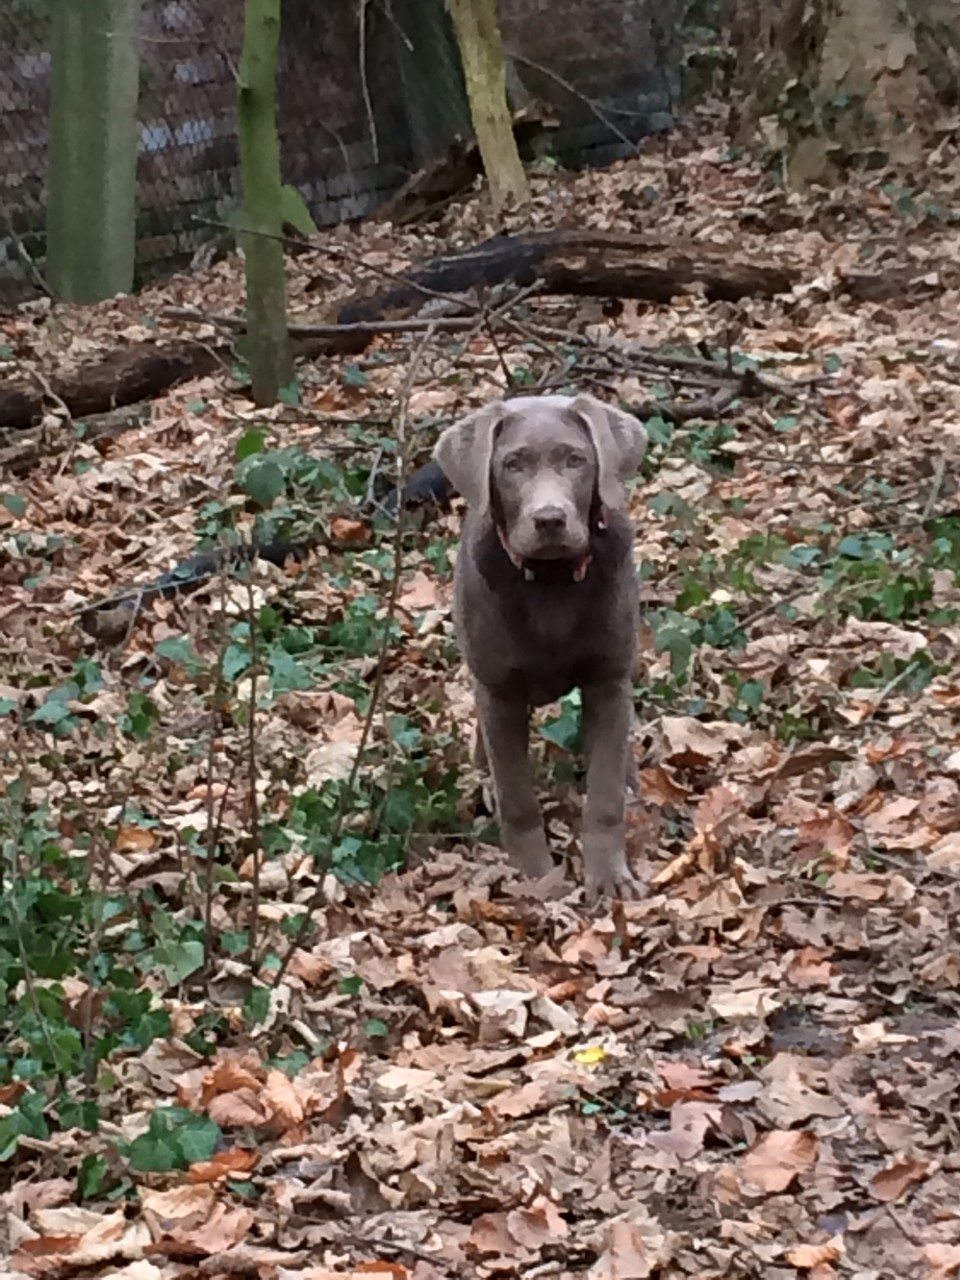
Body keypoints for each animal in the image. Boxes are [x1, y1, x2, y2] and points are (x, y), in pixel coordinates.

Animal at [435, 389, 647, 901]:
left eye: (576, 460)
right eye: (512, 465)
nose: (549, 520)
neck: (551, 582)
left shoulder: (607, 680)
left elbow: (605, 793)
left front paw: (609, 879)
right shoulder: (498, 692)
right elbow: (517, 797)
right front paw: (536, 879)